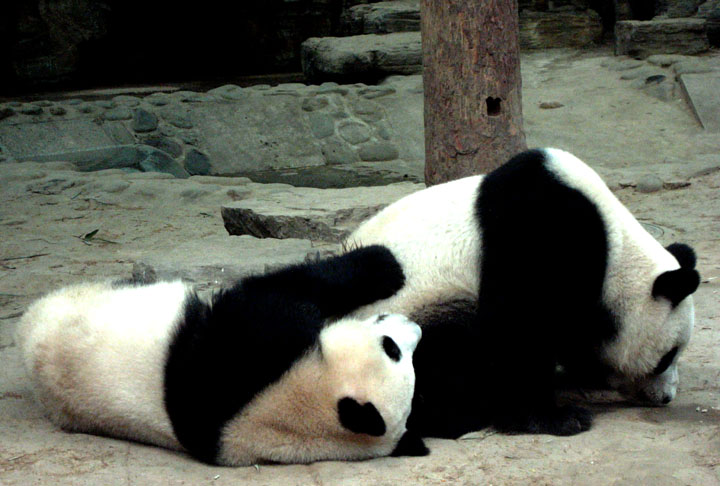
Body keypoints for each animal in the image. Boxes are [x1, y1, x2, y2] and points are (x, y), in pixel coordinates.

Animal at [15, 245, 429, 466]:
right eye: (392, 349)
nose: (414, 328)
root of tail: (27, 323)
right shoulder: (249, 353)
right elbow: (281, 289)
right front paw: (384, 264)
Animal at [346, 148, 701, 439]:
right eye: (666, 357)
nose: (666, 397)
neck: (616, 249)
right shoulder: (537, 232)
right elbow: (517, 329)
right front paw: (554, 418)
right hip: (405, 320)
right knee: (449, 352)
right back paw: (460, 415)